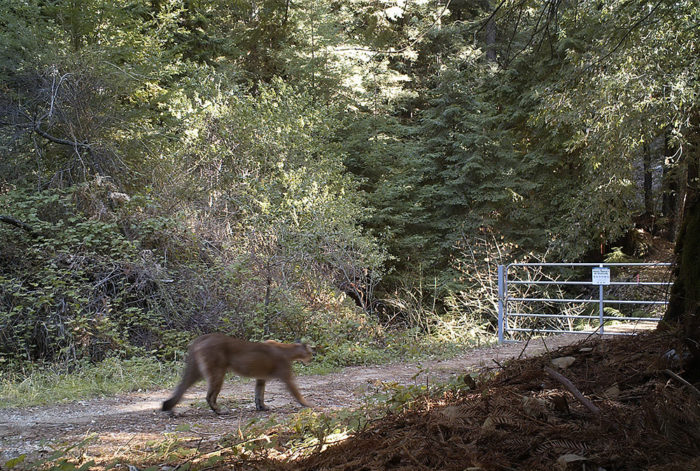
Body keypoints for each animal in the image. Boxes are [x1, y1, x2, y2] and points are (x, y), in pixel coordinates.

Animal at [163, 334, 314, 414]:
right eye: (310, 352)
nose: (312, 357)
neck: (288, 350)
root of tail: (203, 338)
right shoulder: (287, 376)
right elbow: (296, 392)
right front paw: (308, 404)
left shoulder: (261, 378)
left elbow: (259, 394)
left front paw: (262, 407)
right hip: (218, 373)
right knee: (209, 396)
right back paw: (220, 411)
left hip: (198, 371)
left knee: (183, 386)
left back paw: (170, 409)